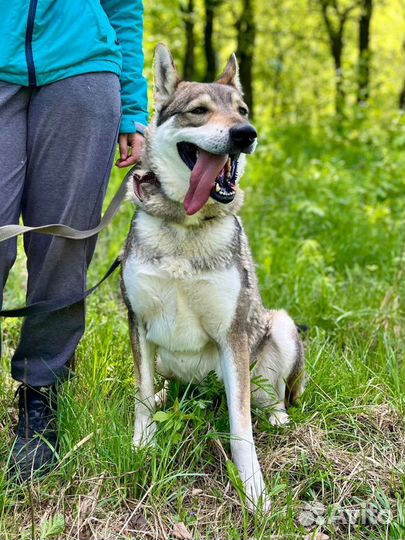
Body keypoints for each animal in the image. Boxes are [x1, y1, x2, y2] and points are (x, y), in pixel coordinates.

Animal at [120, 43, 304, 510]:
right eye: (199, 111)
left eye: (242, 109)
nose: (245, 133)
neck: (184, 226)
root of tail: (204, 392)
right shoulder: (138, 321)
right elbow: (142, 397)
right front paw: (141, 446)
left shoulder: (231, 334)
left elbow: (241, 427)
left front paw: (254, 491)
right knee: (165, 389)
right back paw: (168, 395)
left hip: (280, 327)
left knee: (271, 398)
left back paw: (277, 416)